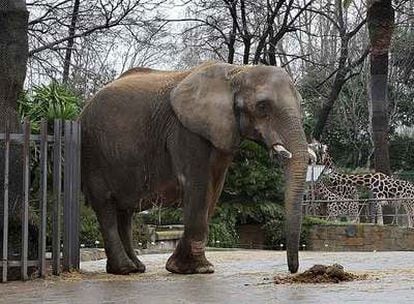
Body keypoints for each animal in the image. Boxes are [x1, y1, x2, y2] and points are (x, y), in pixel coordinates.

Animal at [80, 60, 310, 274]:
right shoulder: (186, 130)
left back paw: (135, 267)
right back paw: (125, 269)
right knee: (106, 207)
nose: (293, 270)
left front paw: (180, 266)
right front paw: (198, 269)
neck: (237, 71)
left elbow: (214, 189)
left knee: (125, 212)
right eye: (262, 106)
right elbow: (198, 184)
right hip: (94, 153)